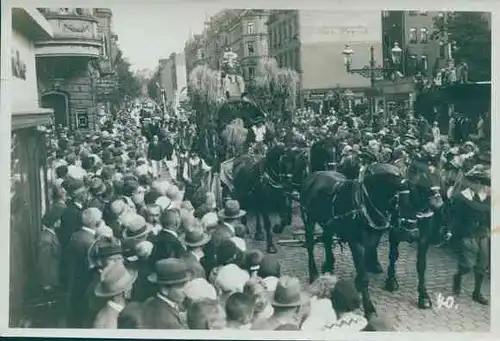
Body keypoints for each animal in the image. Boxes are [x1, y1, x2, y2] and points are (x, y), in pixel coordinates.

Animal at [300, 163, 410, 314]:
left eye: (399, 173)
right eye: (387, 176)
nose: (406, 183)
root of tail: (312, 175)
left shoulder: (380, 235)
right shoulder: (355, 242)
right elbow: (363, 275)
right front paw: (369, 307)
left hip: (328, 223)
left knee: (327, 239)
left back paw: (328, 265)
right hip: (309, 220)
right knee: (310, 243)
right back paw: (314, 274)